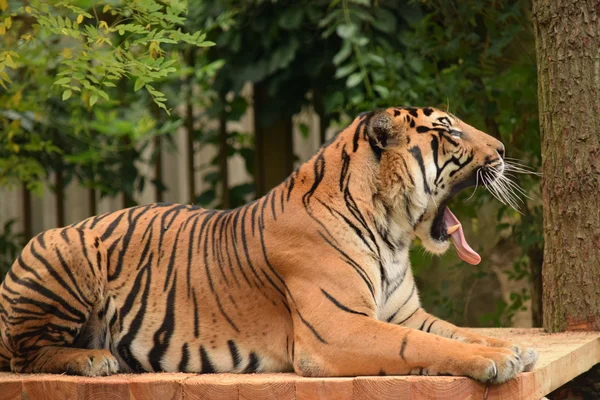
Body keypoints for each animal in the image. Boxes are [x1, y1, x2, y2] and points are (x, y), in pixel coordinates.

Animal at [0, 108, 536, 382]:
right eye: (450, 131)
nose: (503, 150)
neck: (393, 232)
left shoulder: (403, 313)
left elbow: (457, 332)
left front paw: (513, 346)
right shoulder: (336, 328)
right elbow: (422, 345)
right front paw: (495, 360)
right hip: (63, 249)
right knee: (25, 355)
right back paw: (93, 360)